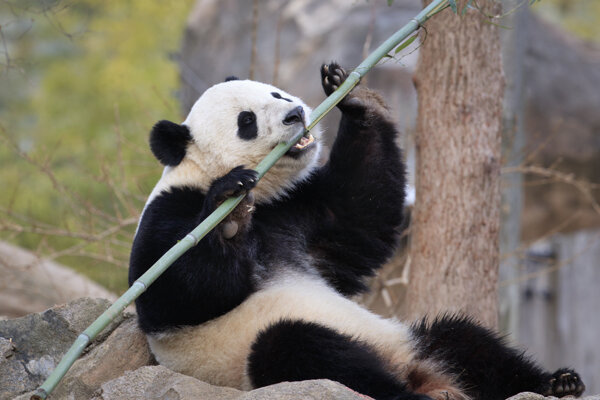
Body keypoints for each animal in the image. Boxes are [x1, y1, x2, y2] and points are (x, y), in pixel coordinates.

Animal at [127, 63, 584, 400]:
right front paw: (230, 213)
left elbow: (359, 214)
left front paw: (356, 98)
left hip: (407, 340)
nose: (295, 114)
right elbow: (176, 292)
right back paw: (404, 394)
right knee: (301, 348)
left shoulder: (296, 213)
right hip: (255, 362)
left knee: (462, 341)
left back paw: (555, 382)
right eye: (247, 121)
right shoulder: (169, 214)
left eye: (275, 95)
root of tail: (417, 374)